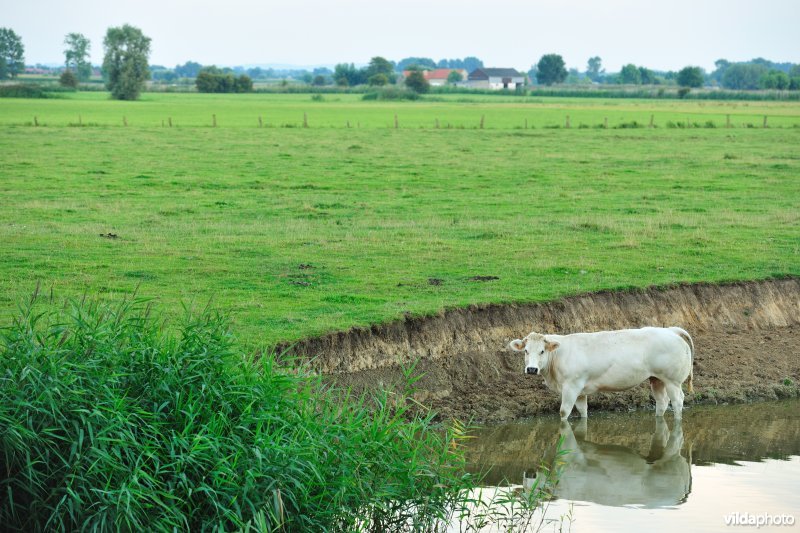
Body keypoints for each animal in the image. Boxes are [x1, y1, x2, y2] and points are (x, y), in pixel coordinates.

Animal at [509, 327, 694, 419]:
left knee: (677, 402)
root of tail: (671, 330)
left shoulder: (571, 386)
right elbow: (583, 410)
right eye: (526, 351)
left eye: (542, 351)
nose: (531, 369)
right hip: (656, 378)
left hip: (673, 380)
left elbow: (564, 411)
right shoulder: (580, 391)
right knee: (662, 402)